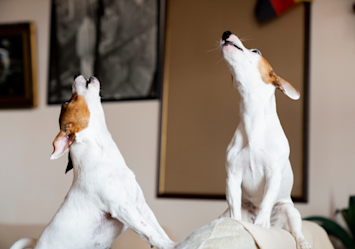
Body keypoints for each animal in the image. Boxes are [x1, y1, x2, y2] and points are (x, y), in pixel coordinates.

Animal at [10, 75, 178, 249]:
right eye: (67, 101)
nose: (77, 75)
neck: (106, 158)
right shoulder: (123, 207)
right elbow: (149, 232)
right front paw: (171, 245)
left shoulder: (141, 206)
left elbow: (158, 229)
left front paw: (171, 242)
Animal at [220, 31, 312, 249]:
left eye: (256, 51)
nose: (226, 33)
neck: (252, 118)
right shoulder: (232, 177)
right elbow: (234, 207)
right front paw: (236, 223)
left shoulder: (273, 175)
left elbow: (266, 201)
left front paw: (261, 224)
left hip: (290, 211)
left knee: (296, 232)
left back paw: (300, 241)